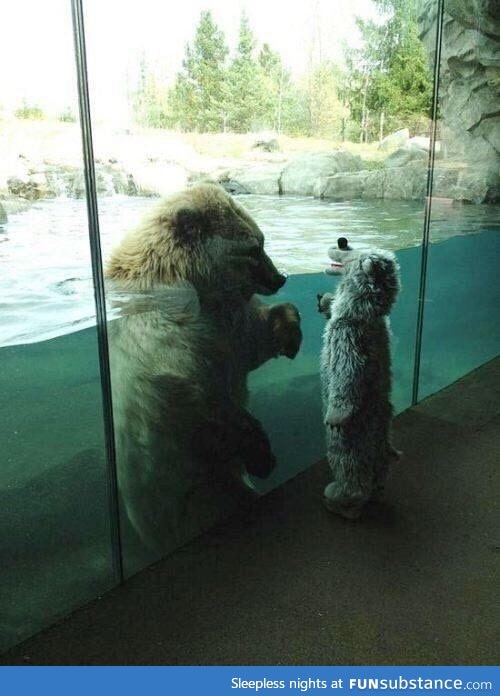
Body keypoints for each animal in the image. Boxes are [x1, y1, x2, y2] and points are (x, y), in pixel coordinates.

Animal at [104, 181, 302, 560]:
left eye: (262, 241)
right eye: (254, 248)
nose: (280, 278)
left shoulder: (225, 323)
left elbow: (253, 339)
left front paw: (290, 332)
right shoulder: (163, 341)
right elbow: (197, 399)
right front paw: (261, 453)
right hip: (191, 501)